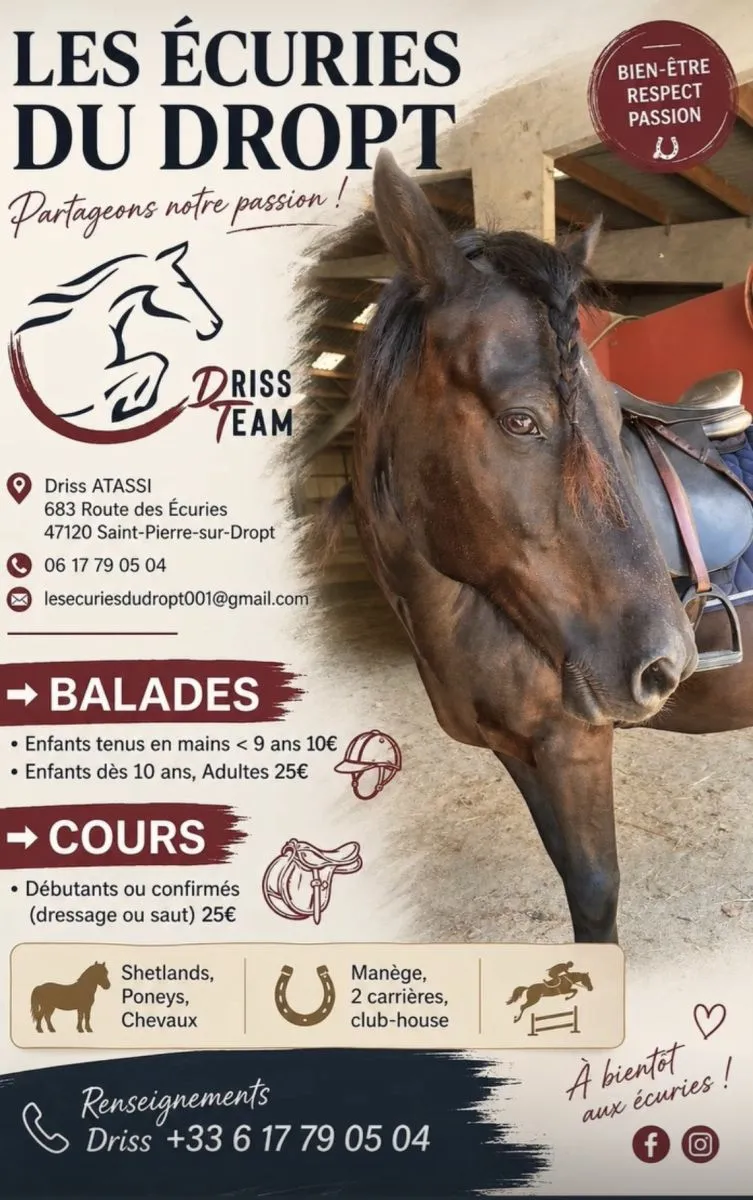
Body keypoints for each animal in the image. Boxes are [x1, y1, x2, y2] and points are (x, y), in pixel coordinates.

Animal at [14, 242, 222, 431]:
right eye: (184, 283)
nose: (216, 324)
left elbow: (153, 362)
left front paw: (126, 403)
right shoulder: (87, 387)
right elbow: (154, 360)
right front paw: (129, 405)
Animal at [301, 149, 753, 945]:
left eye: (612, 416)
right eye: (520, 420)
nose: (669, 665)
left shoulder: (574, 745)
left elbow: (595, 897)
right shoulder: (519, 751)